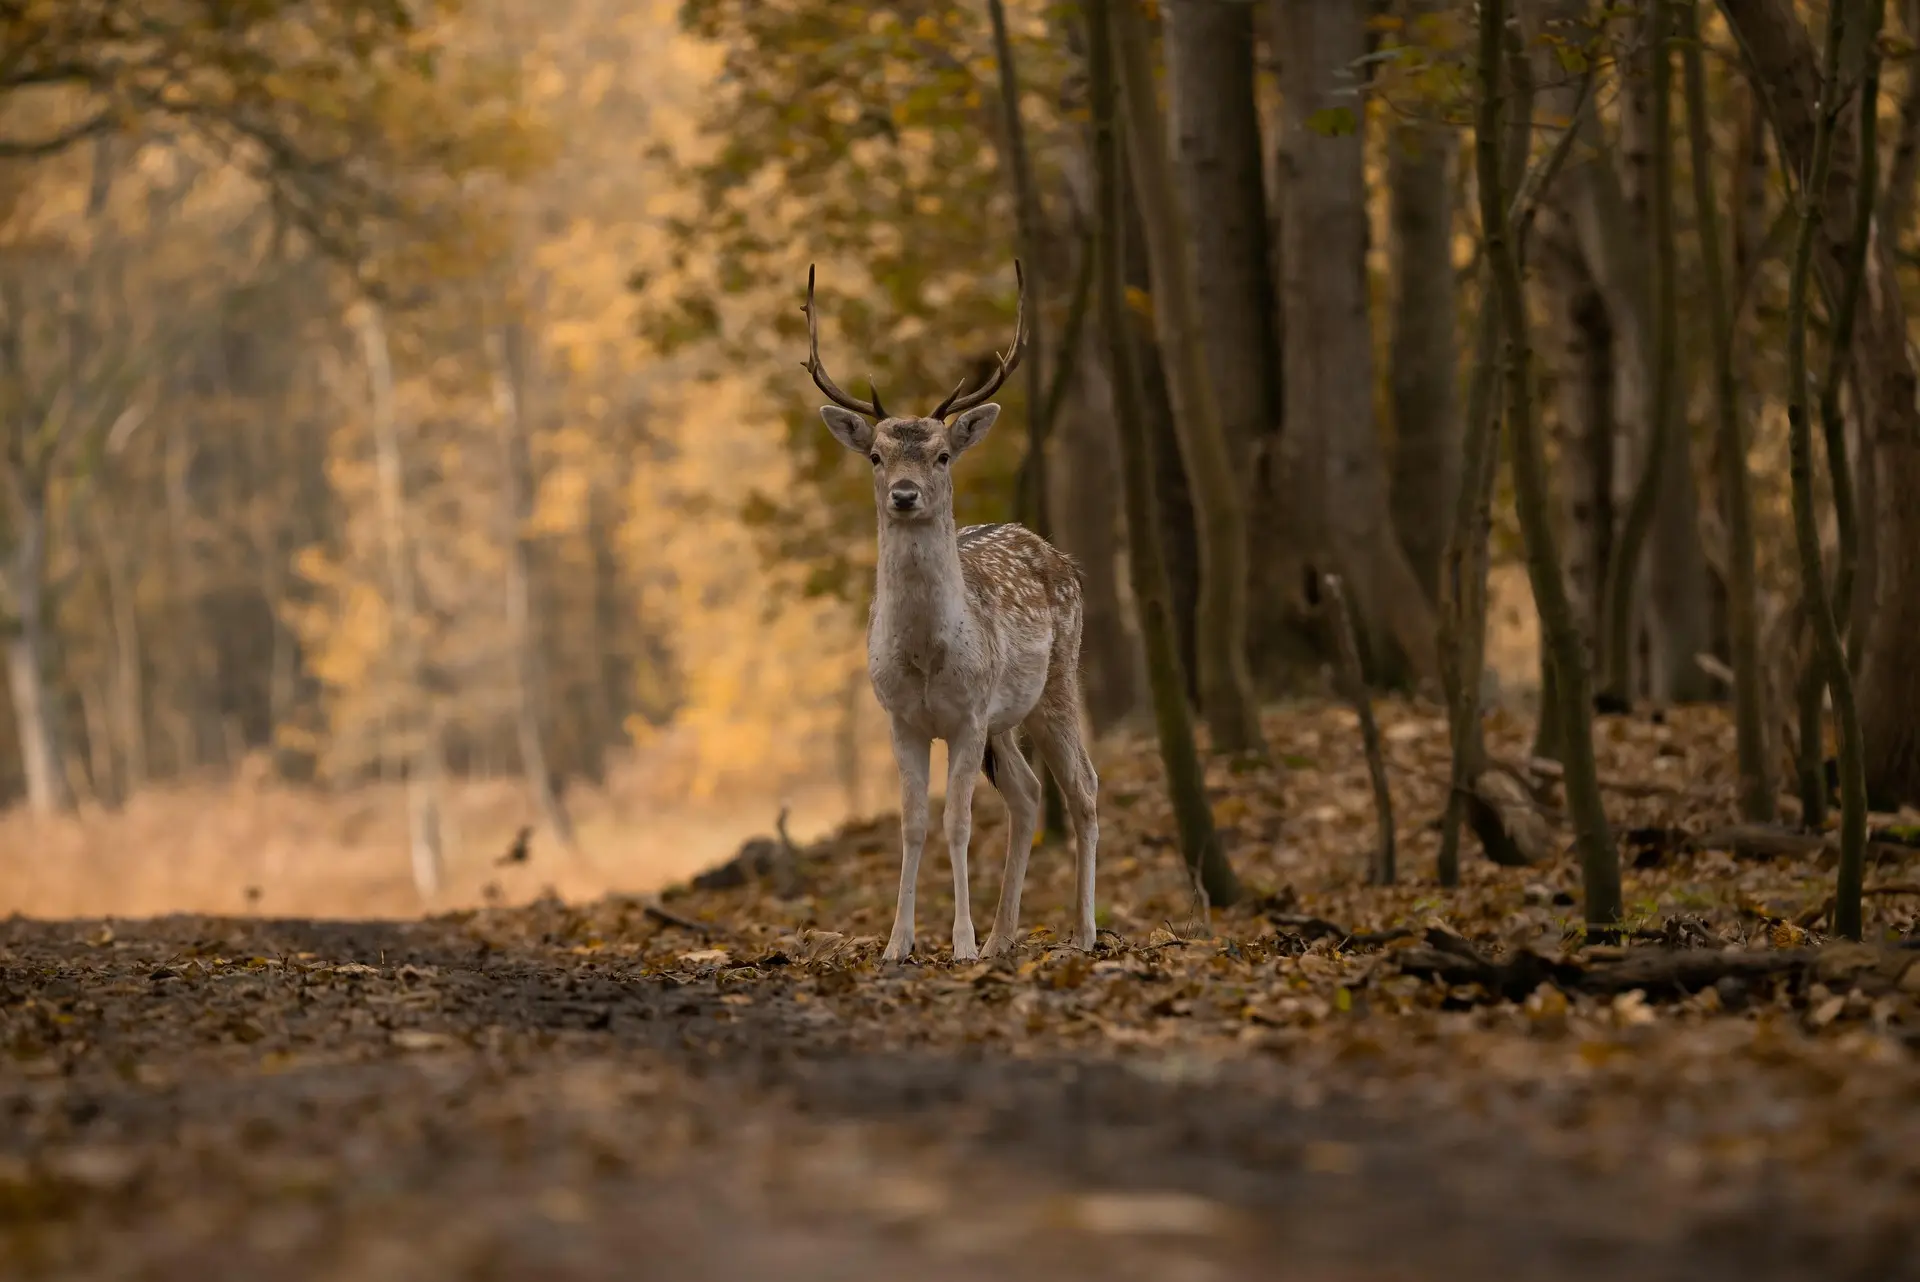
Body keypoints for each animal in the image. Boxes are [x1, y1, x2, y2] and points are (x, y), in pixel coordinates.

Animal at [802, 261, 1099, 964]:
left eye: (941, 454)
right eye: (876, 456)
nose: (906, 495)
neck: (927, 658)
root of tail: (1060, 554)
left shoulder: (967, 714)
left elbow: (957, 821)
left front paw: (958, 943)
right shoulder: (901, 718)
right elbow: (913, 824)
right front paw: (898, 944)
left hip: (1057, 682)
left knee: (1083, 788)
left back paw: (1082, 932)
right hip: (1006, 719)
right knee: (1028, 793)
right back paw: (1002, 938)